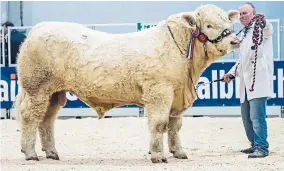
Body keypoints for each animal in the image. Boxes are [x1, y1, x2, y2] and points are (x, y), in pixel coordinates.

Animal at [15, 4, 240, 163]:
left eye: (228, 24)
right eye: (209, 25)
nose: (235, 41)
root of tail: (38, 28)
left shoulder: (177, 96)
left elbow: (175, 126)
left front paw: (179, 152)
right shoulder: (159, 92)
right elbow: (160, 124)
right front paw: (158, 155)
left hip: (54, 93)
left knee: (46, 120)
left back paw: (51, 152)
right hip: (36, 88)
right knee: (30, 117)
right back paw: (30, 153)